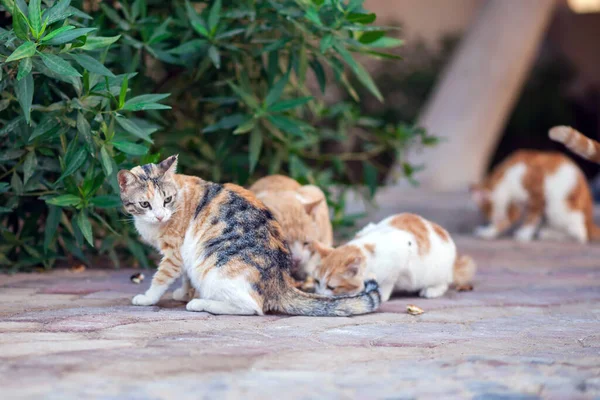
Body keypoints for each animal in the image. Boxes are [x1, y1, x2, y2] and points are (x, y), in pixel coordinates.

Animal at [117, 155, 380, 316]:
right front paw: (183, 292)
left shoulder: (174, 252)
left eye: (167, 200)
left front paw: (148, 298)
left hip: (212, 265)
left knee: (252, 306)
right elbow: (185, 277)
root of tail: (281, 282)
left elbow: (161, 278)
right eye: (144, 204)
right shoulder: (184, 255)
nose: (160, 216)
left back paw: (201, 303)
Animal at [308, 214, 476, 302]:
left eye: (331, 287)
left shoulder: (399, 261)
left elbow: (388, 282)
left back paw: (431, 290)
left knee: (445, 282)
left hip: (437, 271)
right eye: (316, 281)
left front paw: (381, 295)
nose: (319, 295)